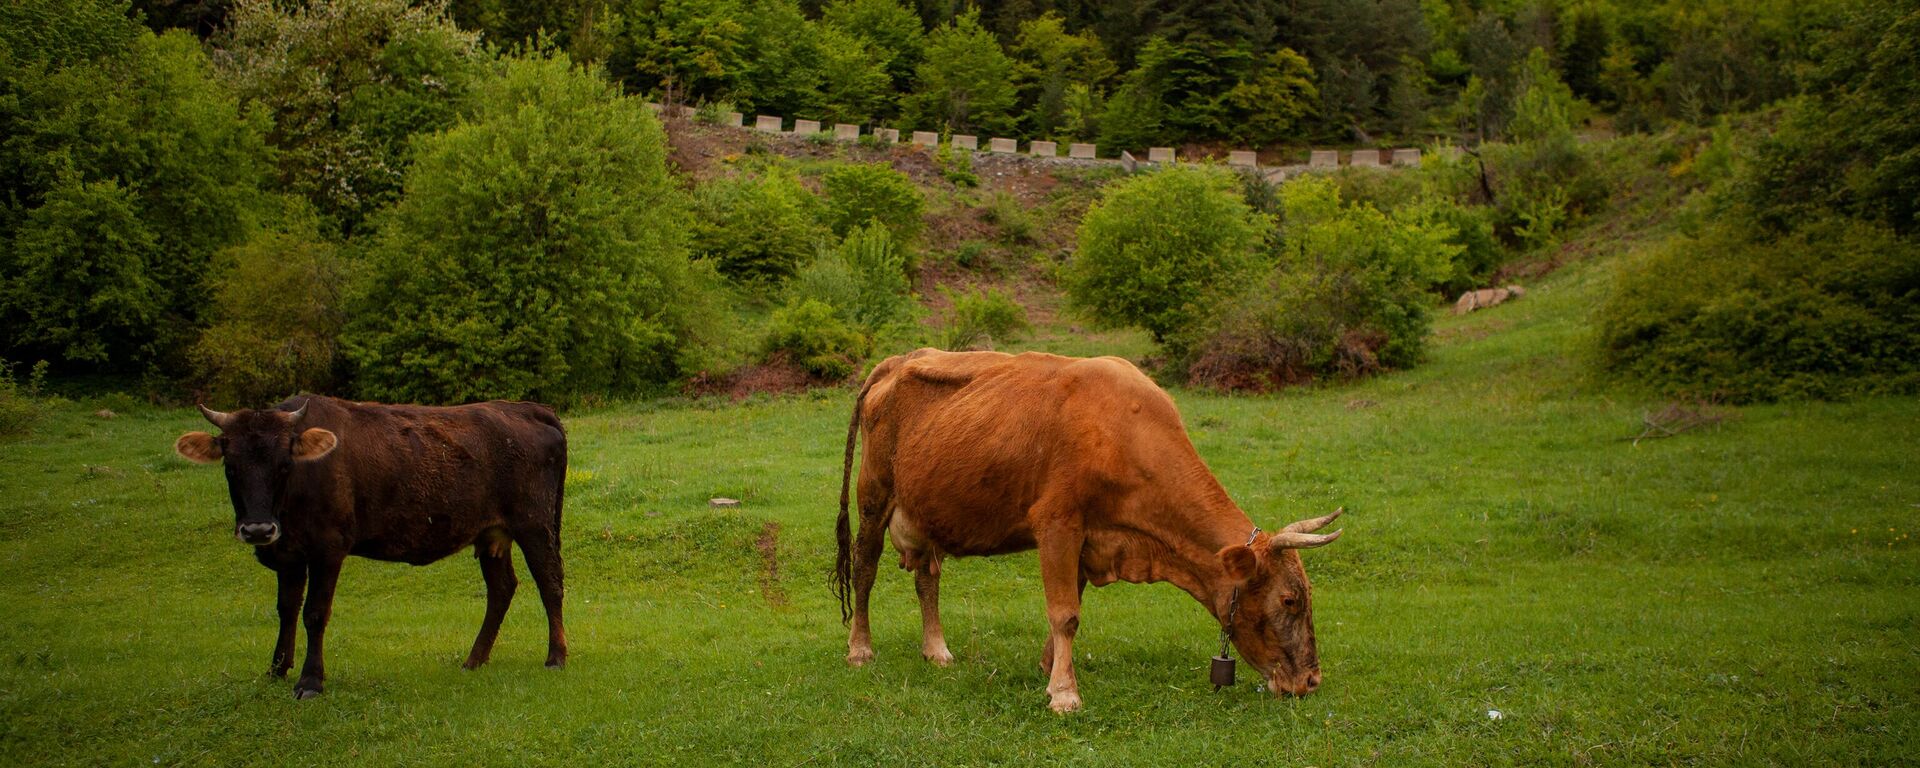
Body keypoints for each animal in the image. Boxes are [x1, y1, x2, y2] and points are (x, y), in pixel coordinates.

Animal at [173, 395, 564, 695]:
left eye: (284, 465)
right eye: (231, 466)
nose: (257, 529)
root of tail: (525, 408)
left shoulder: (328, 548)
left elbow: (314, 612)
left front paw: (311, 681)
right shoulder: (288, 553)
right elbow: (286, 609)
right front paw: (277, 669)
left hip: (536, 524)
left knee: (550, 584)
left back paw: (556, 657)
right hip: (492, 533)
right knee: (501, 589)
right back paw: (475, 659)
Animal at [833, 351, 1344, 710]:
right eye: (1289, 601)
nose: (1311, 681)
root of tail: (900, 359)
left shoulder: (1090, 537)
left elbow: (1071, 605)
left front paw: (1048, 668)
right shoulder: (1058, 522)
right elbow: (1065, 613)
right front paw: (1064, 693)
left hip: (928, 510)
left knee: (927, 577)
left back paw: (936, 649)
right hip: (874, 495)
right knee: (864, 568)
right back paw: (859, 649)